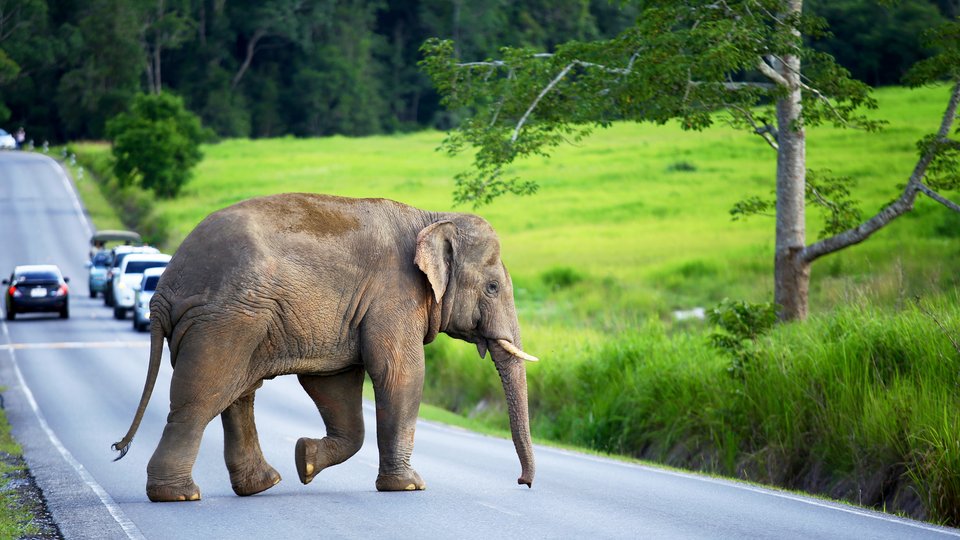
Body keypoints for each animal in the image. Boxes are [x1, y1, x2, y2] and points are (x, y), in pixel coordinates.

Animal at [112, 192, 538, 502]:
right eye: (493, 287)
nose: (523, 483)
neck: (430, 217)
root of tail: (164, 290)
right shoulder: (394, 294)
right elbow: (400, 373)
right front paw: (410, 486)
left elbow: (334, 385)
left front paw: (305, 459)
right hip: (224, 319)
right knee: (203, 395)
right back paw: (179, 496)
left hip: (238, 319)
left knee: (238, 393)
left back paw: (262, 484)